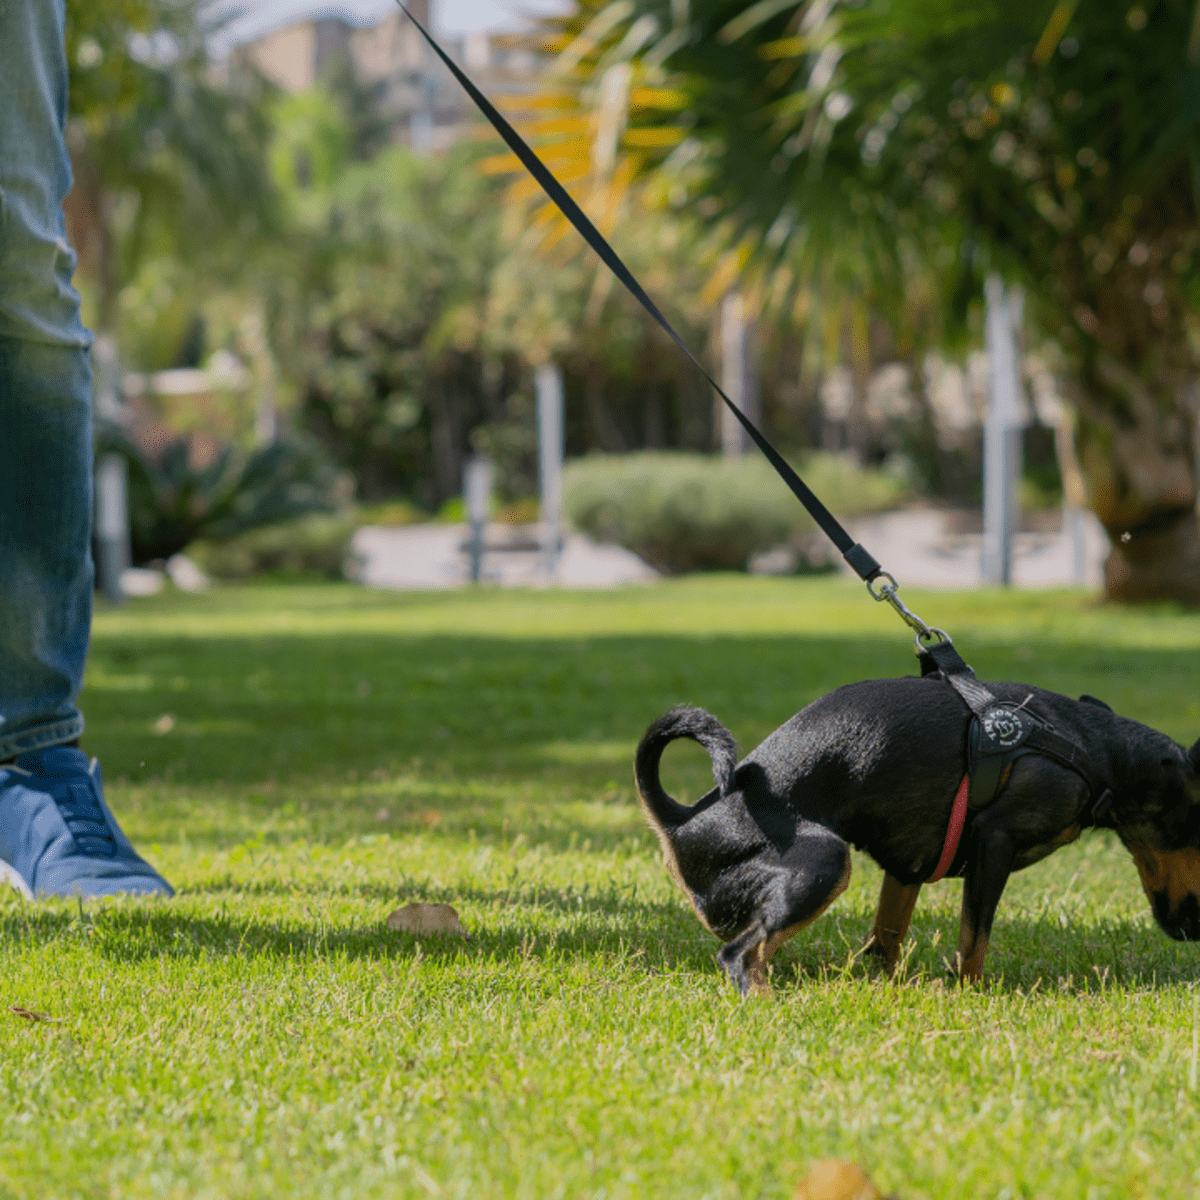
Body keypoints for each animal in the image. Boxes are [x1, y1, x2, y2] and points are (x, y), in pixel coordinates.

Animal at [638, 676, 1200, 993]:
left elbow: (885, 939)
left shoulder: (906, 866)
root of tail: (681, 822)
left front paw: (885, 986)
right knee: (739, 954)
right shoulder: (993, 843)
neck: (1096, 749)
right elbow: (974, 939)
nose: (1193, 931)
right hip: (825, 862)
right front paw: (968, 995)